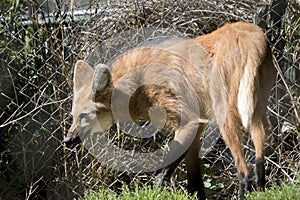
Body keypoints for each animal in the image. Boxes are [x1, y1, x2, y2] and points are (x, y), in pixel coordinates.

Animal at [63, 21, 276, 198]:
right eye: (73, 116)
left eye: (84, 116)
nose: (67, 140)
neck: (138, 82)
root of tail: (251, 37)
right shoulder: (194, 128)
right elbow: (195, 183)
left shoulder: (189, 121)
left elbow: (161, 175)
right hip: (256, 109)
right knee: (259, 155)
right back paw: (261, 190)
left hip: (227, 116)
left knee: (244, 172)